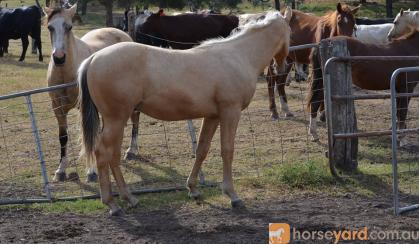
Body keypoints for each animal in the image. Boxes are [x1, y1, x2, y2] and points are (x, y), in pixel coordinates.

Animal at [45, 4, 137, 182]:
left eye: (69, 27)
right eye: (50, 27)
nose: (59, 58)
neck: (66, 73)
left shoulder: (84, 107)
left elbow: (87, 134)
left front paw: (92, 172)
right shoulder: (57, 108)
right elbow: (63, 137)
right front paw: (60, 170)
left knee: (135, 119)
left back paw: (132, 150)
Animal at [76, 10, 292, 215]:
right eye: (290, 32)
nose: (281, 68)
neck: (239, 55)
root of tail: (93, 59)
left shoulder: (213, 116)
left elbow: (202, 150)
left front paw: (193, 189)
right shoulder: (230, 112)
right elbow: (227, 151)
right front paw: (232, 195)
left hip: (116, 121)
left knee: (113, 155)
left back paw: (129, 198)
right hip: (116, 119)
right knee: (102, 153)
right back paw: (112, 204)